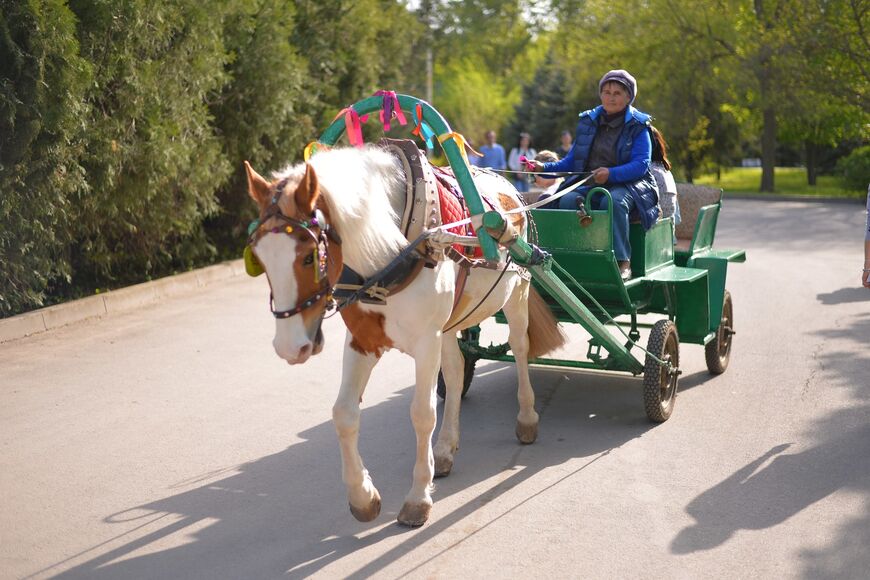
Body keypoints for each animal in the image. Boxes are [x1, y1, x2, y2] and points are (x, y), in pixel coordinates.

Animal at [245, 145, 564, 524]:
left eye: (310, 256)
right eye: (259, 257)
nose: (289, 347)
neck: (389, 257)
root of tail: (508, 187)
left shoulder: (426, 341)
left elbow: (422, 414)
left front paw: (418, 497)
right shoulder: (364, 341)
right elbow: (344, 413)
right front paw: (363, 496)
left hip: (517, 292)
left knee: (519, 346)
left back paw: (527, 418)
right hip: (449, 323)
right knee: (455, 373)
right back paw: (445, 449)